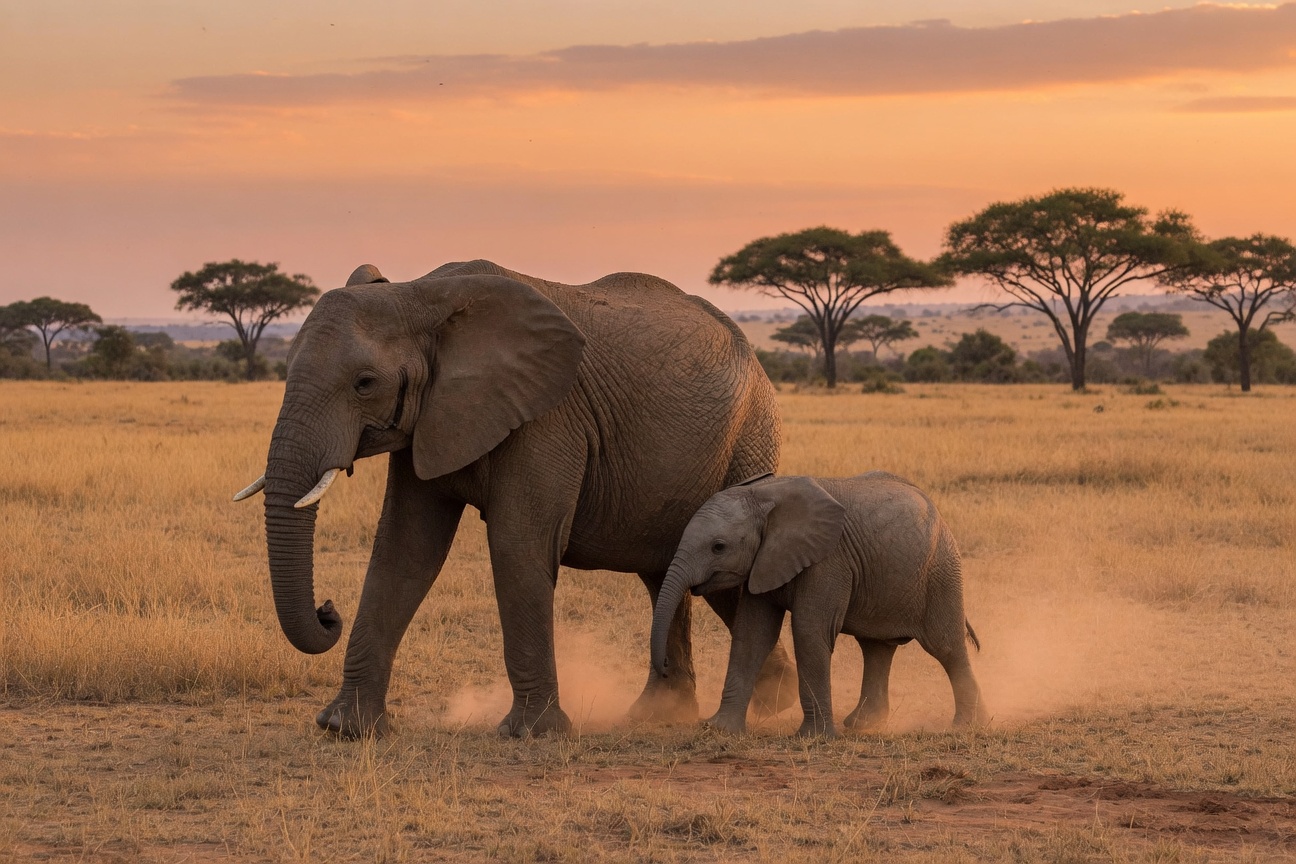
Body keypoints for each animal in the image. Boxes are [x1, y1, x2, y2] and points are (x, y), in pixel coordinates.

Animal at [232, 259, 796, 737]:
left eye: (365, 383)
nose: (328, 609)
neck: (418, 293)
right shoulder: (432, 418)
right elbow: (404, 551)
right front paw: (345, 729)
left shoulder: (547, 417)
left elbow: (517, 545)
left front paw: (532, 734)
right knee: (668, 573)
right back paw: (672, 714)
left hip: (748, 439)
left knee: (722, 570)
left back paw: (772, 703)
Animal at [650, 471, 987, 738]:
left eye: (718, 547)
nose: (664, 667)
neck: (765, 495)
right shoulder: (765, 562)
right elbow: (752, 636)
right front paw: (719, 729)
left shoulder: (828, 561)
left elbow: (810, 632)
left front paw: (813, 738)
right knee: (876, 648)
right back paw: (863, 725)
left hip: (941, 571)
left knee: (946, 647)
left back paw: (967, 725)